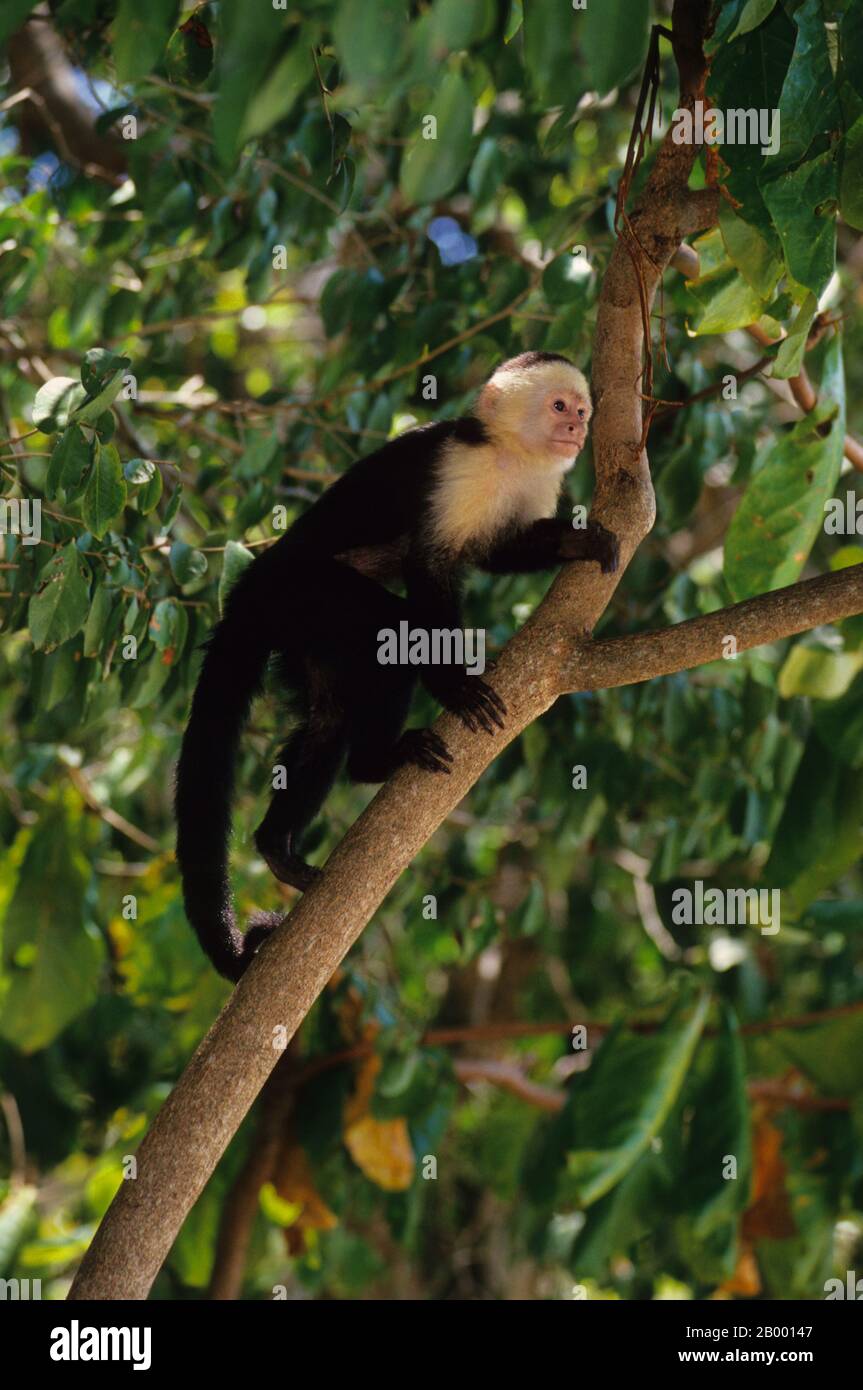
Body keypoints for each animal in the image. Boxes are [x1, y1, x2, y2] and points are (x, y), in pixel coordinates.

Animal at [176, 353, 619, 984]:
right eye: (560, 407)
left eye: (582, 410)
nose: (578, 429)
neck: (510, 452)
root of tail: (254, 585)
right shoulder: (459, 470)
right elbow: (429, 566)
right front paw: (454, 686)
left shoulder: (540, 480)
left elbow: (496, 551)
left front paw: (576, 542)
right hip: (307, 591)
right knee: (392, 637)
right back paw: (374, 762)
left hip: (302, 631)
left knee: (330, 716)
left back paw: (277, 845)